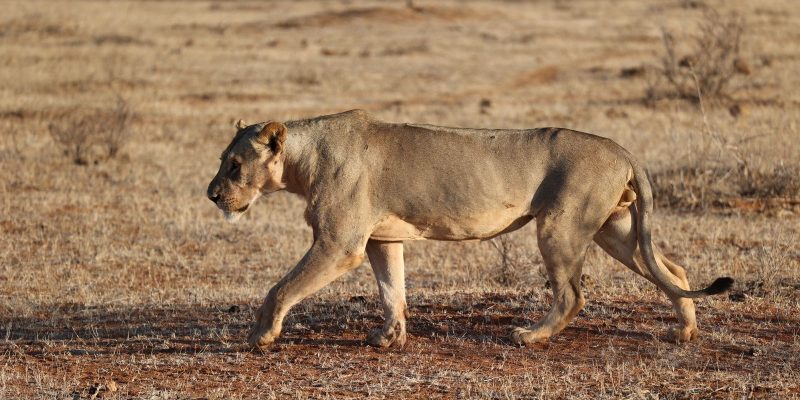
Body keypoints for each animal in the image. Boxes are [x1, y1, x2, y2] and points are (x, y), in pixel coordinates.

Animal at [206, 110, 733, 349]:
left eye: (234, 165)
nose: (211, 194)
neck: (303, 161)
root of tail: (622, 148)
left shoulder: (340, 244)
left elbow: (280, 288)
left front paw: (261, 335)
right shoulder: (382, 239)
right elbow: (392, 291)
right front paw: (389, 338)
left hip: (561, 226)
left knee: (572, 294)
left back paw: (530, 336)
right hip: (616, 229)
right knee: (675, 271)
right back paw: (686, 330)